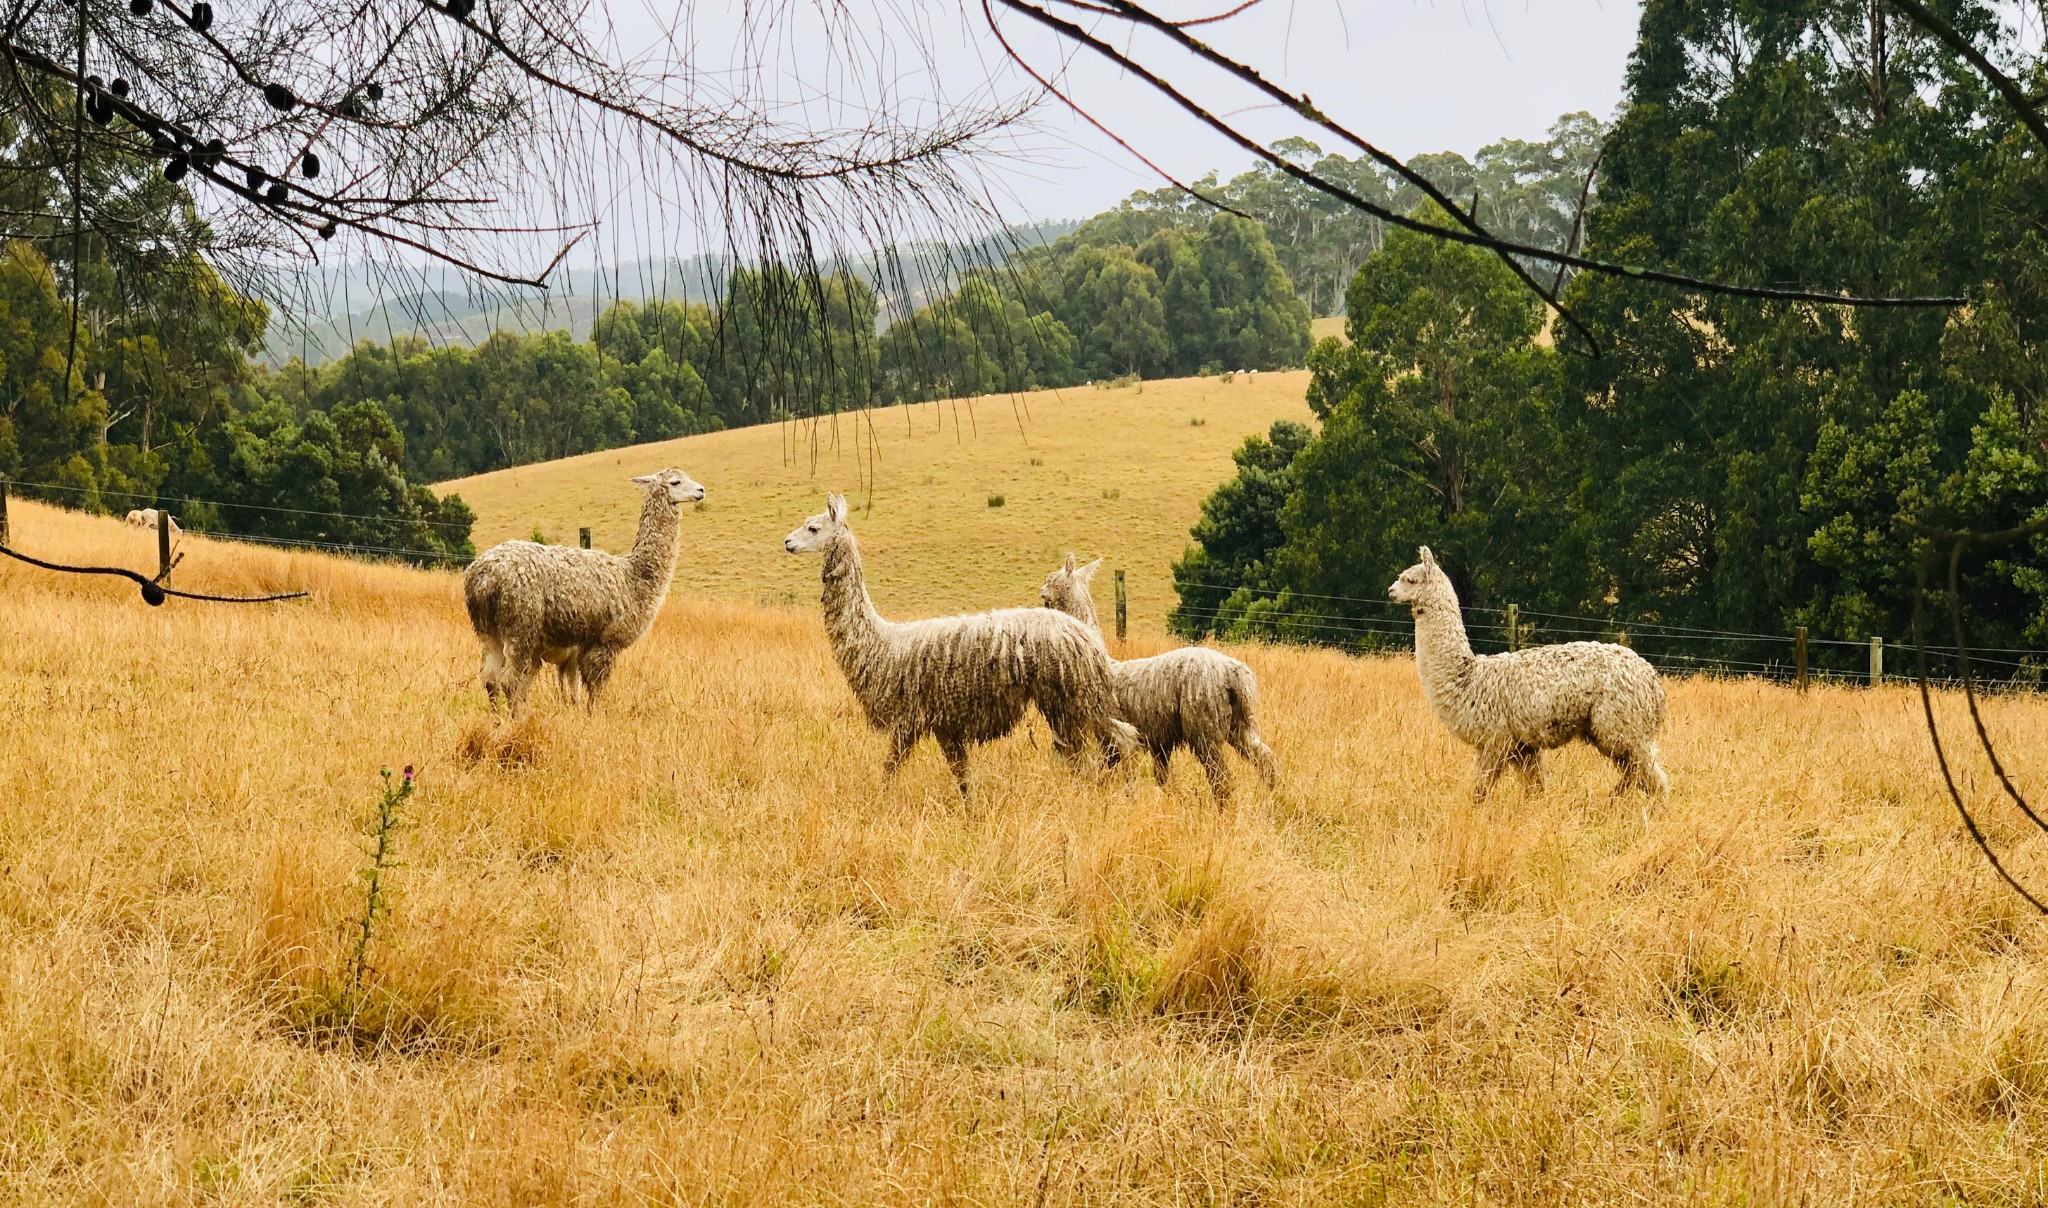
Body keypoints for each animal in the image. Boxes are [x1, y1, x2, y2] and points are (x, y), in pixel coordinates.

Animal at [464, 470, 704, 720]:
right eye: (675, 482)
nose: (701, 490)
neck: (634, 577)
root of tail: (484, 577)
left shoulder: (574, 652)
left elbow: (573, 693)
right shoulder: (604, 643)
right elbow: (595, 688)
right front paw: (595, 718)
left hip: (487, 630)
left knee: (491, 680)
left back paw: (498, 721)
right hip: (520, 627)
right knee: (509, 682)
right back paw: (515, 722)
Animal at [1048, 556, 1269, 806]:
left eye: (1050, 580)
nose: (1042, 592)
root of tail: (1234, 674)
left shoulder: (1112, 735)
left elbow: (1110, 774)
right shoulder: (1157, 742)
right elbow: (1160, 779)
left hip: (1204, 726)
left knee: (1222, 778)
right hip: (1240, 722)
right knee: (1263, 757)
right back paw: (1271, 795)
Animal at [1384, 548, 1671, 806]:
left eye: (1409, 579)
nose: (1390, 591)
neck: (1467, 677)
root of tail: (1653, 681)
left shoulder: (1495, 740)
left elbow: (1480, 790)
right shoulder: (1522, 746)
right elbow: (1535, 787)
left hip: (1622, 725)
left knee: (1651, 775)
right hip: (1615, 728)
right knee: (1636, 772)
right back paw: (1613, 802)